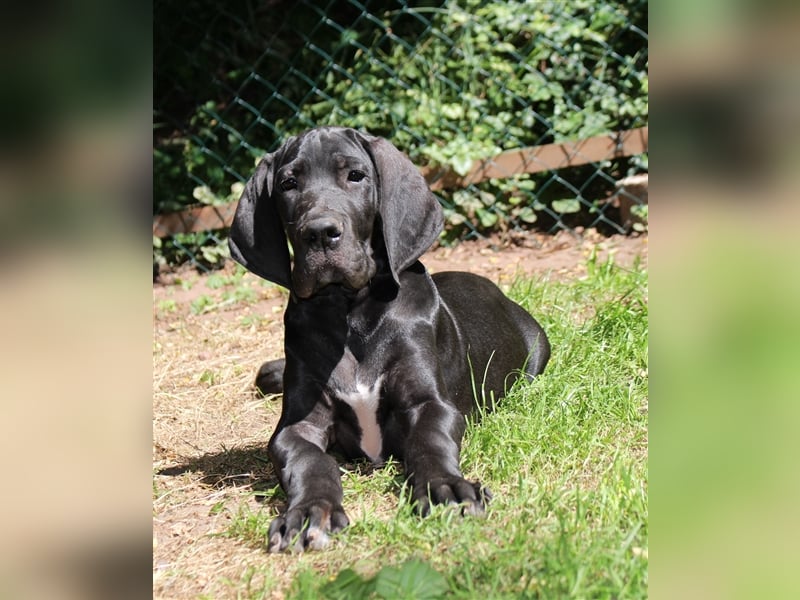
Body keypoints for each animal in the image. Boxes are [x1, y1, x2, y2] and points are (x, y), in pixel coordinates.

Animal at [228, 126, 548, 552]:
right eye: (288, 184)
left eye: (356, 176)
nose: (319, 233)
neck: (350, 312)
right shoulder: (297, 426)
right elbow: (310, 462)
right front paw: (310, 511)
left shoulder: (429, 403)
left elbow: (430, 442)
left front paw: (446, 489)